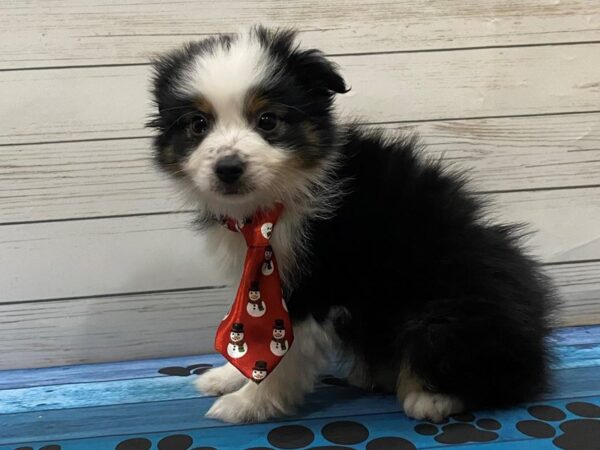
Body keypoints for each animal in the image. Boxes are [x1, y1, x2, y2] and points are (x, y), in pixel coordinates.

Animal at [148, 26, 556, 424]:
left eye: (268, 120)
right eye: (198, 125)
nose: (228, 168)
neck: (271, 207)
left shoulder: (315, 282)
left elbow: (282, 354)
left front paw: (248, 404)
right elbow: (249, 331)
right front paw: (228, 376)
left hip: (446, 308)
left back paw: (429, 396)